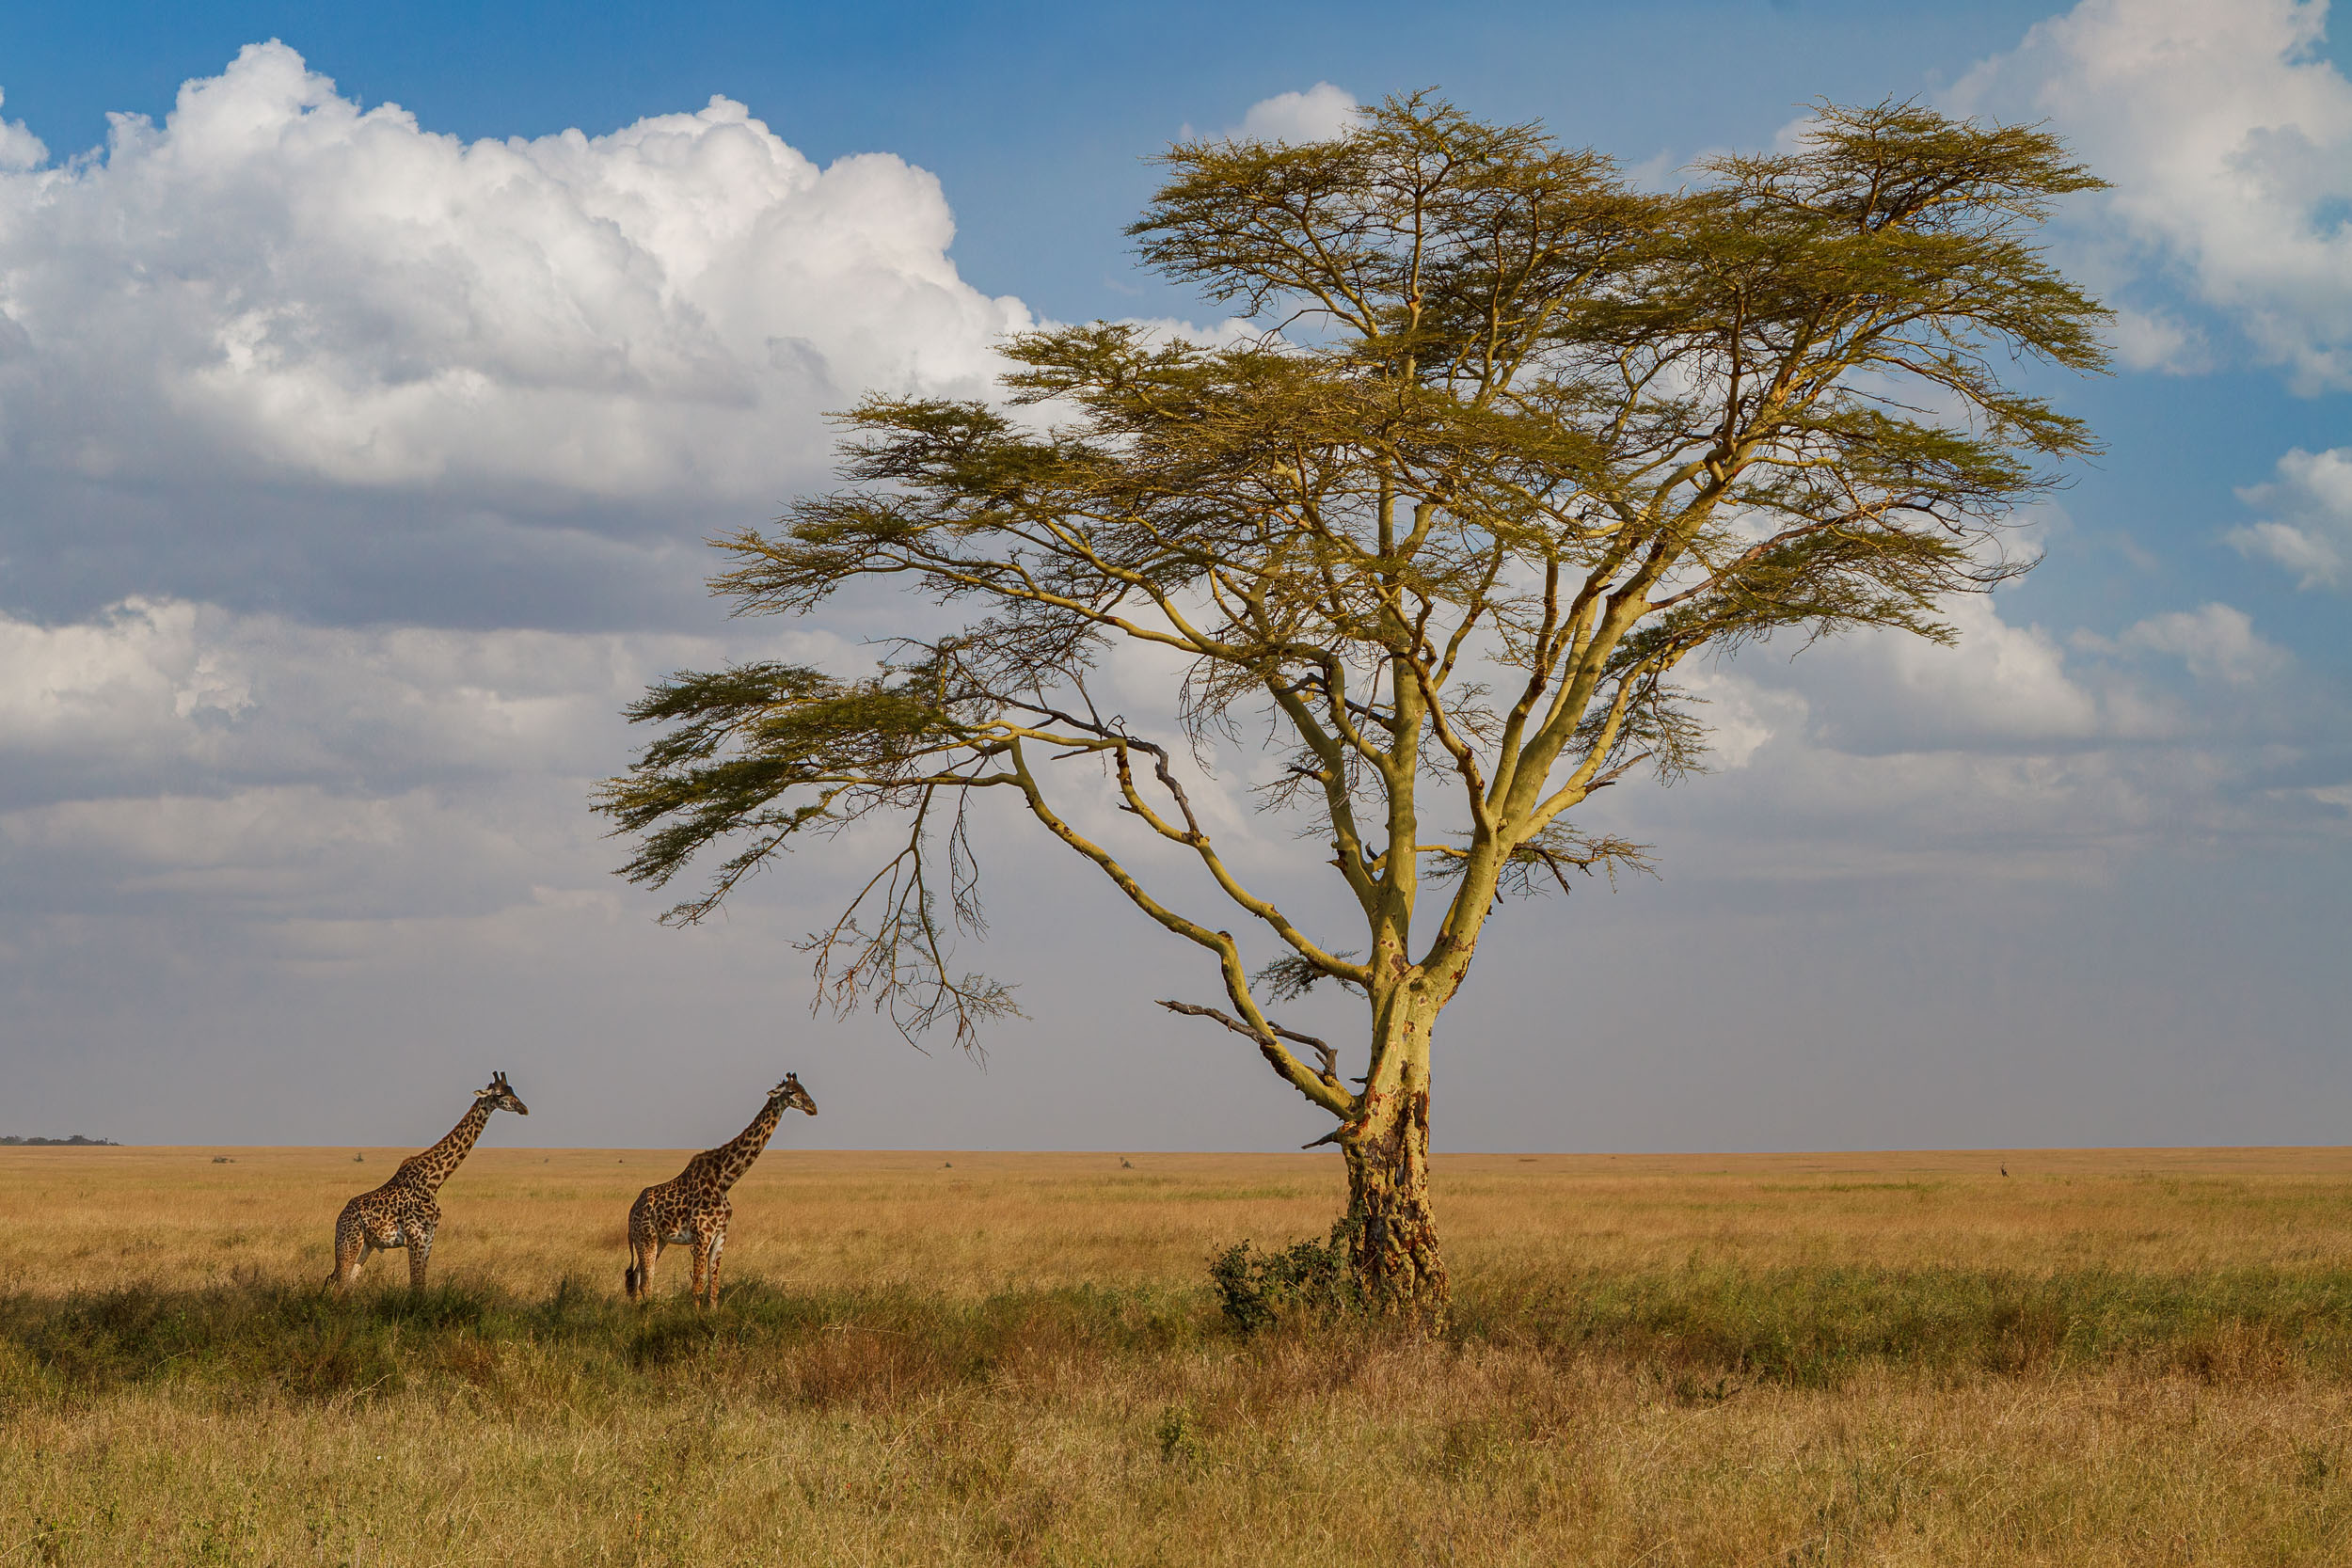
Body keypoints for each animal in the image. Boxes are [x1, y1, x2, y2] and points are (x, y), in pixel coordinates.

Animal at [325, 1072, 529, 1292]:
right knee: (337, 1283)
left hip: (365, 1246)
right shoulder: (416, 1236)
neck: (434, 1180)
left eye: (513, 1091)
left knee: (341, 1283)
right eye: (499, 1094)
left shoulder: (429, 1238)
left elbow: (421, 1284)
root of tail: (340, 1217)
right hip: (349, 1242)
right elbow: (417, 1286)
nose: (524, 1109)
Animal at [625, 1073, 817, 1308]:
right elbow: (698, 1286)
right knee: (645, 1282)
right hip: (646, 1238)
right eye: (791, 1092)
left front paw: (712, 1314)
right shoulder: (701, 1236)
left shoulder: (720, 1236)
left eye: (804, 1088)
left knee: (636, 1277)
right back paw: (648, 1312)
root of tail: (631, 1211)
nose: (813, 1108)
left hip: (658, 1240)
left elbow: (714, 1286)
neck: (724, 1179)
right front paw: (695, 1316)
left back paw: (636, 1311)